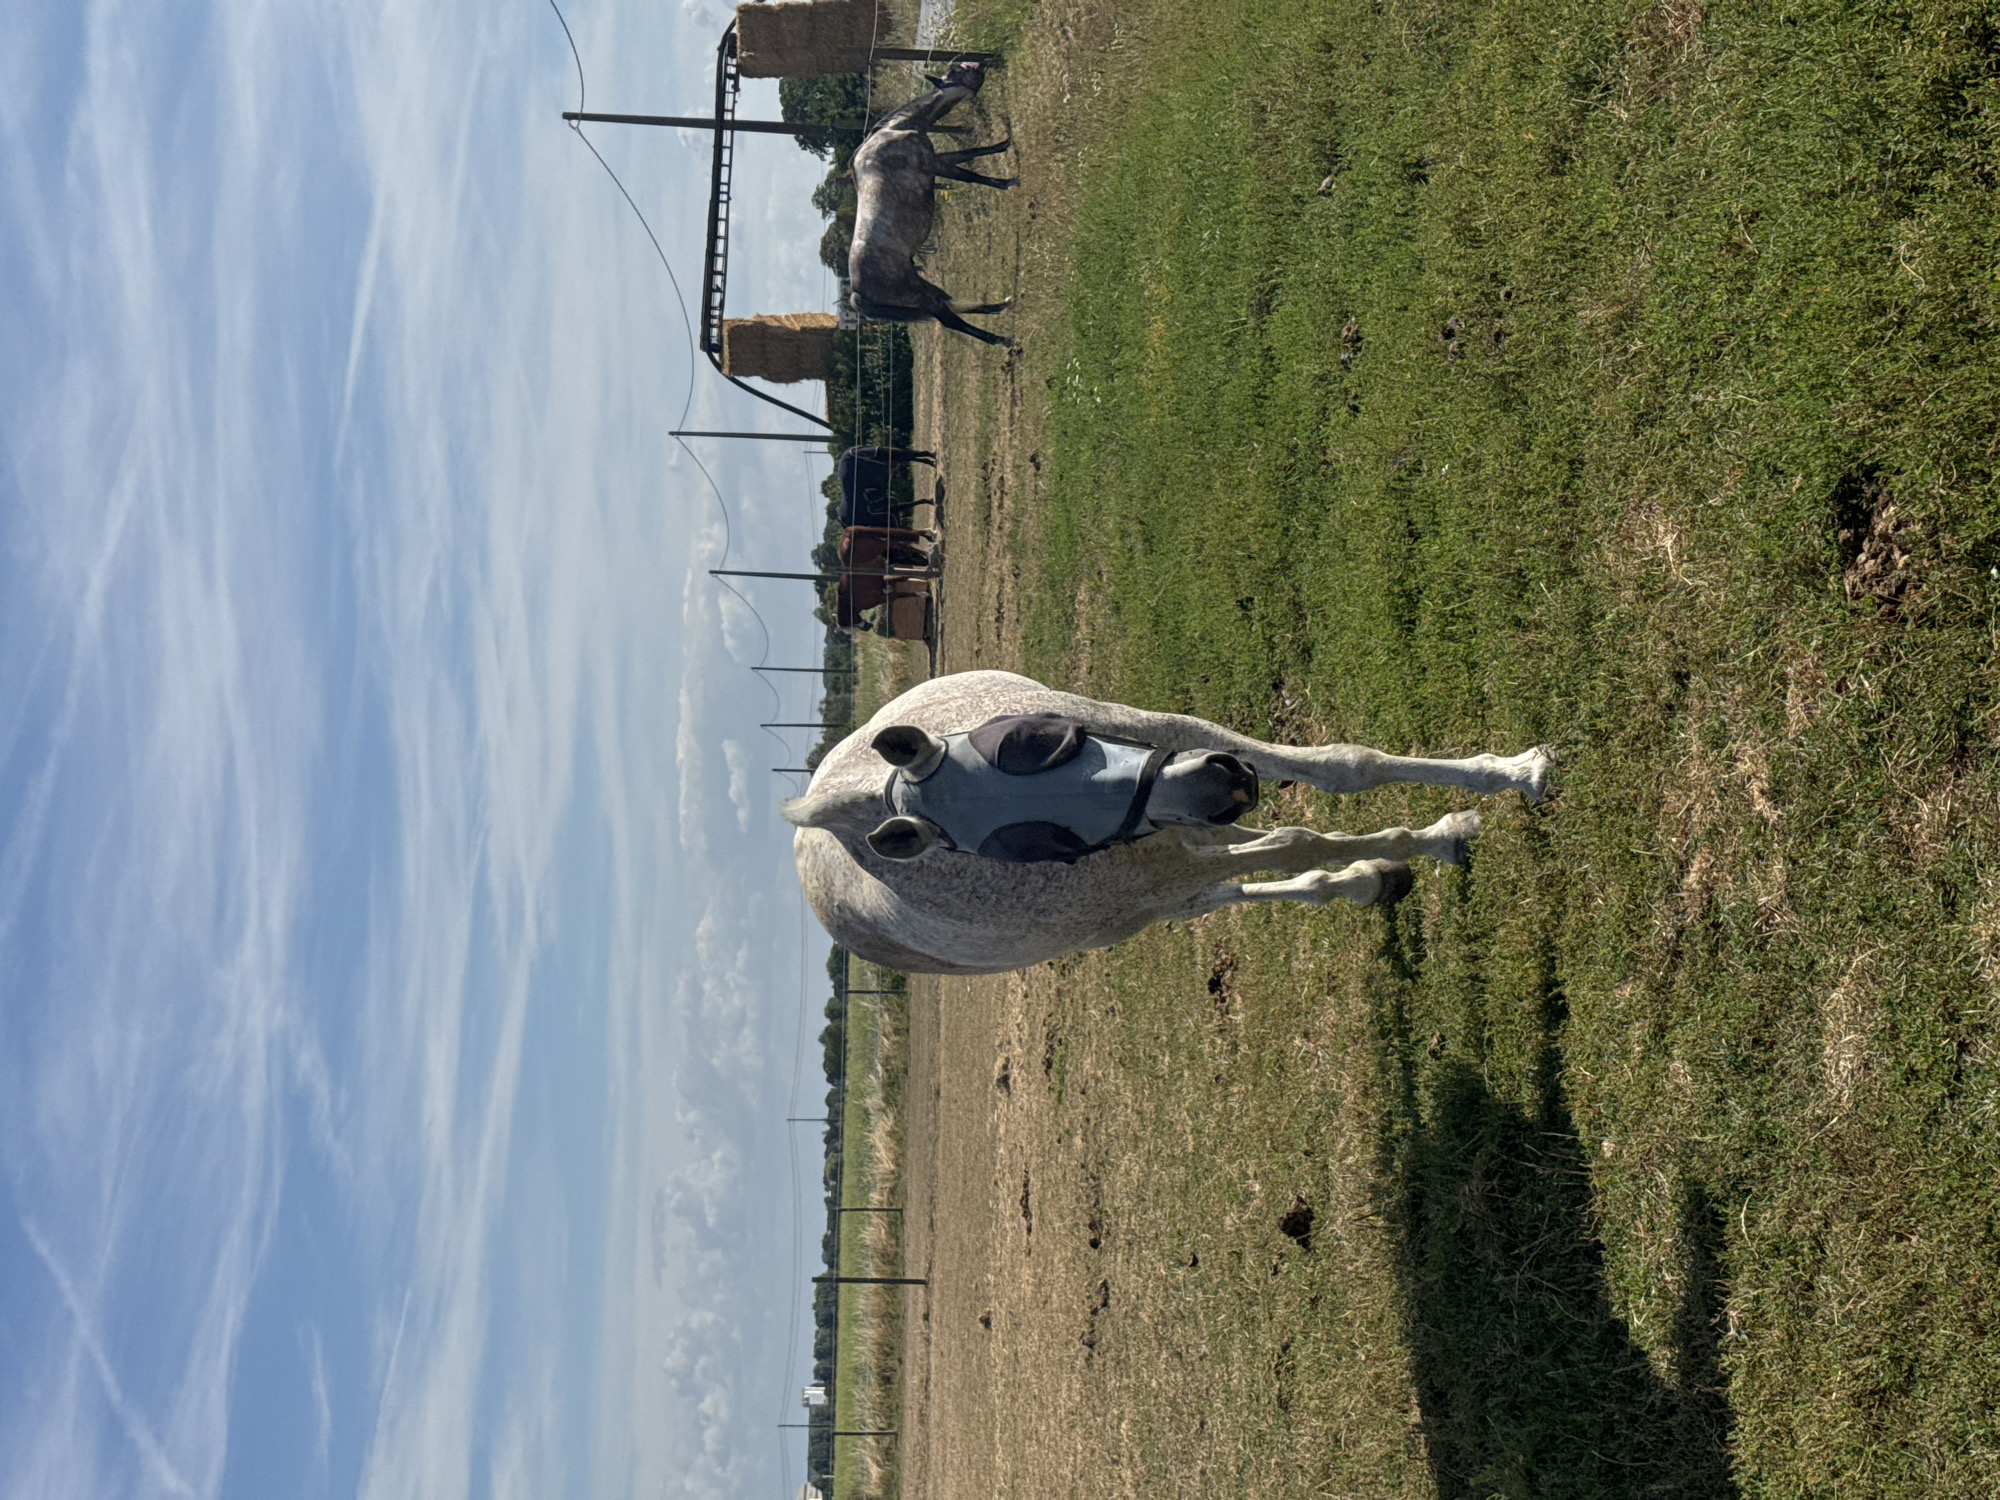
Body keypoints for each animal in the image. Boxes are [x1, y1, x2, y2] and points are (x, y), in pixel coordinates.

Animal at [783, 671, 1553, 974]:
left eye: (1035, 738)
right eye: (1029, 846)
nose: (1218, 783)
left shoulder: (1172, 735)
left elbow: (1346, 767)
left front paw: (1511, 777)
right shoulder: (1161, 868)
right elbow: (1294, 841)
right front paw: (1435, 838)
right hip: (1155, 896)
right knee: (1239, 880)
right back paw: (1369, 877)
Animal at [848, 62, 1016, 346]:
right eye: (958, 73)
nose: (981, 63)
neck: (896, 131)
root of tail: (857, 293)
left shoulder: (940, 159)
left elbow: (972, 153)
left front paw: (1005, 143)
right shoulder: (935, 164)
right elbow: (971, 175)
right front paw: (1007, 182)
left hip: (923, 291)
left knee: (949, 304)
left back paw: (999, 306)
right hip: (920, 296)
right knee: (950, 320)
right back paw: (1000, 339)